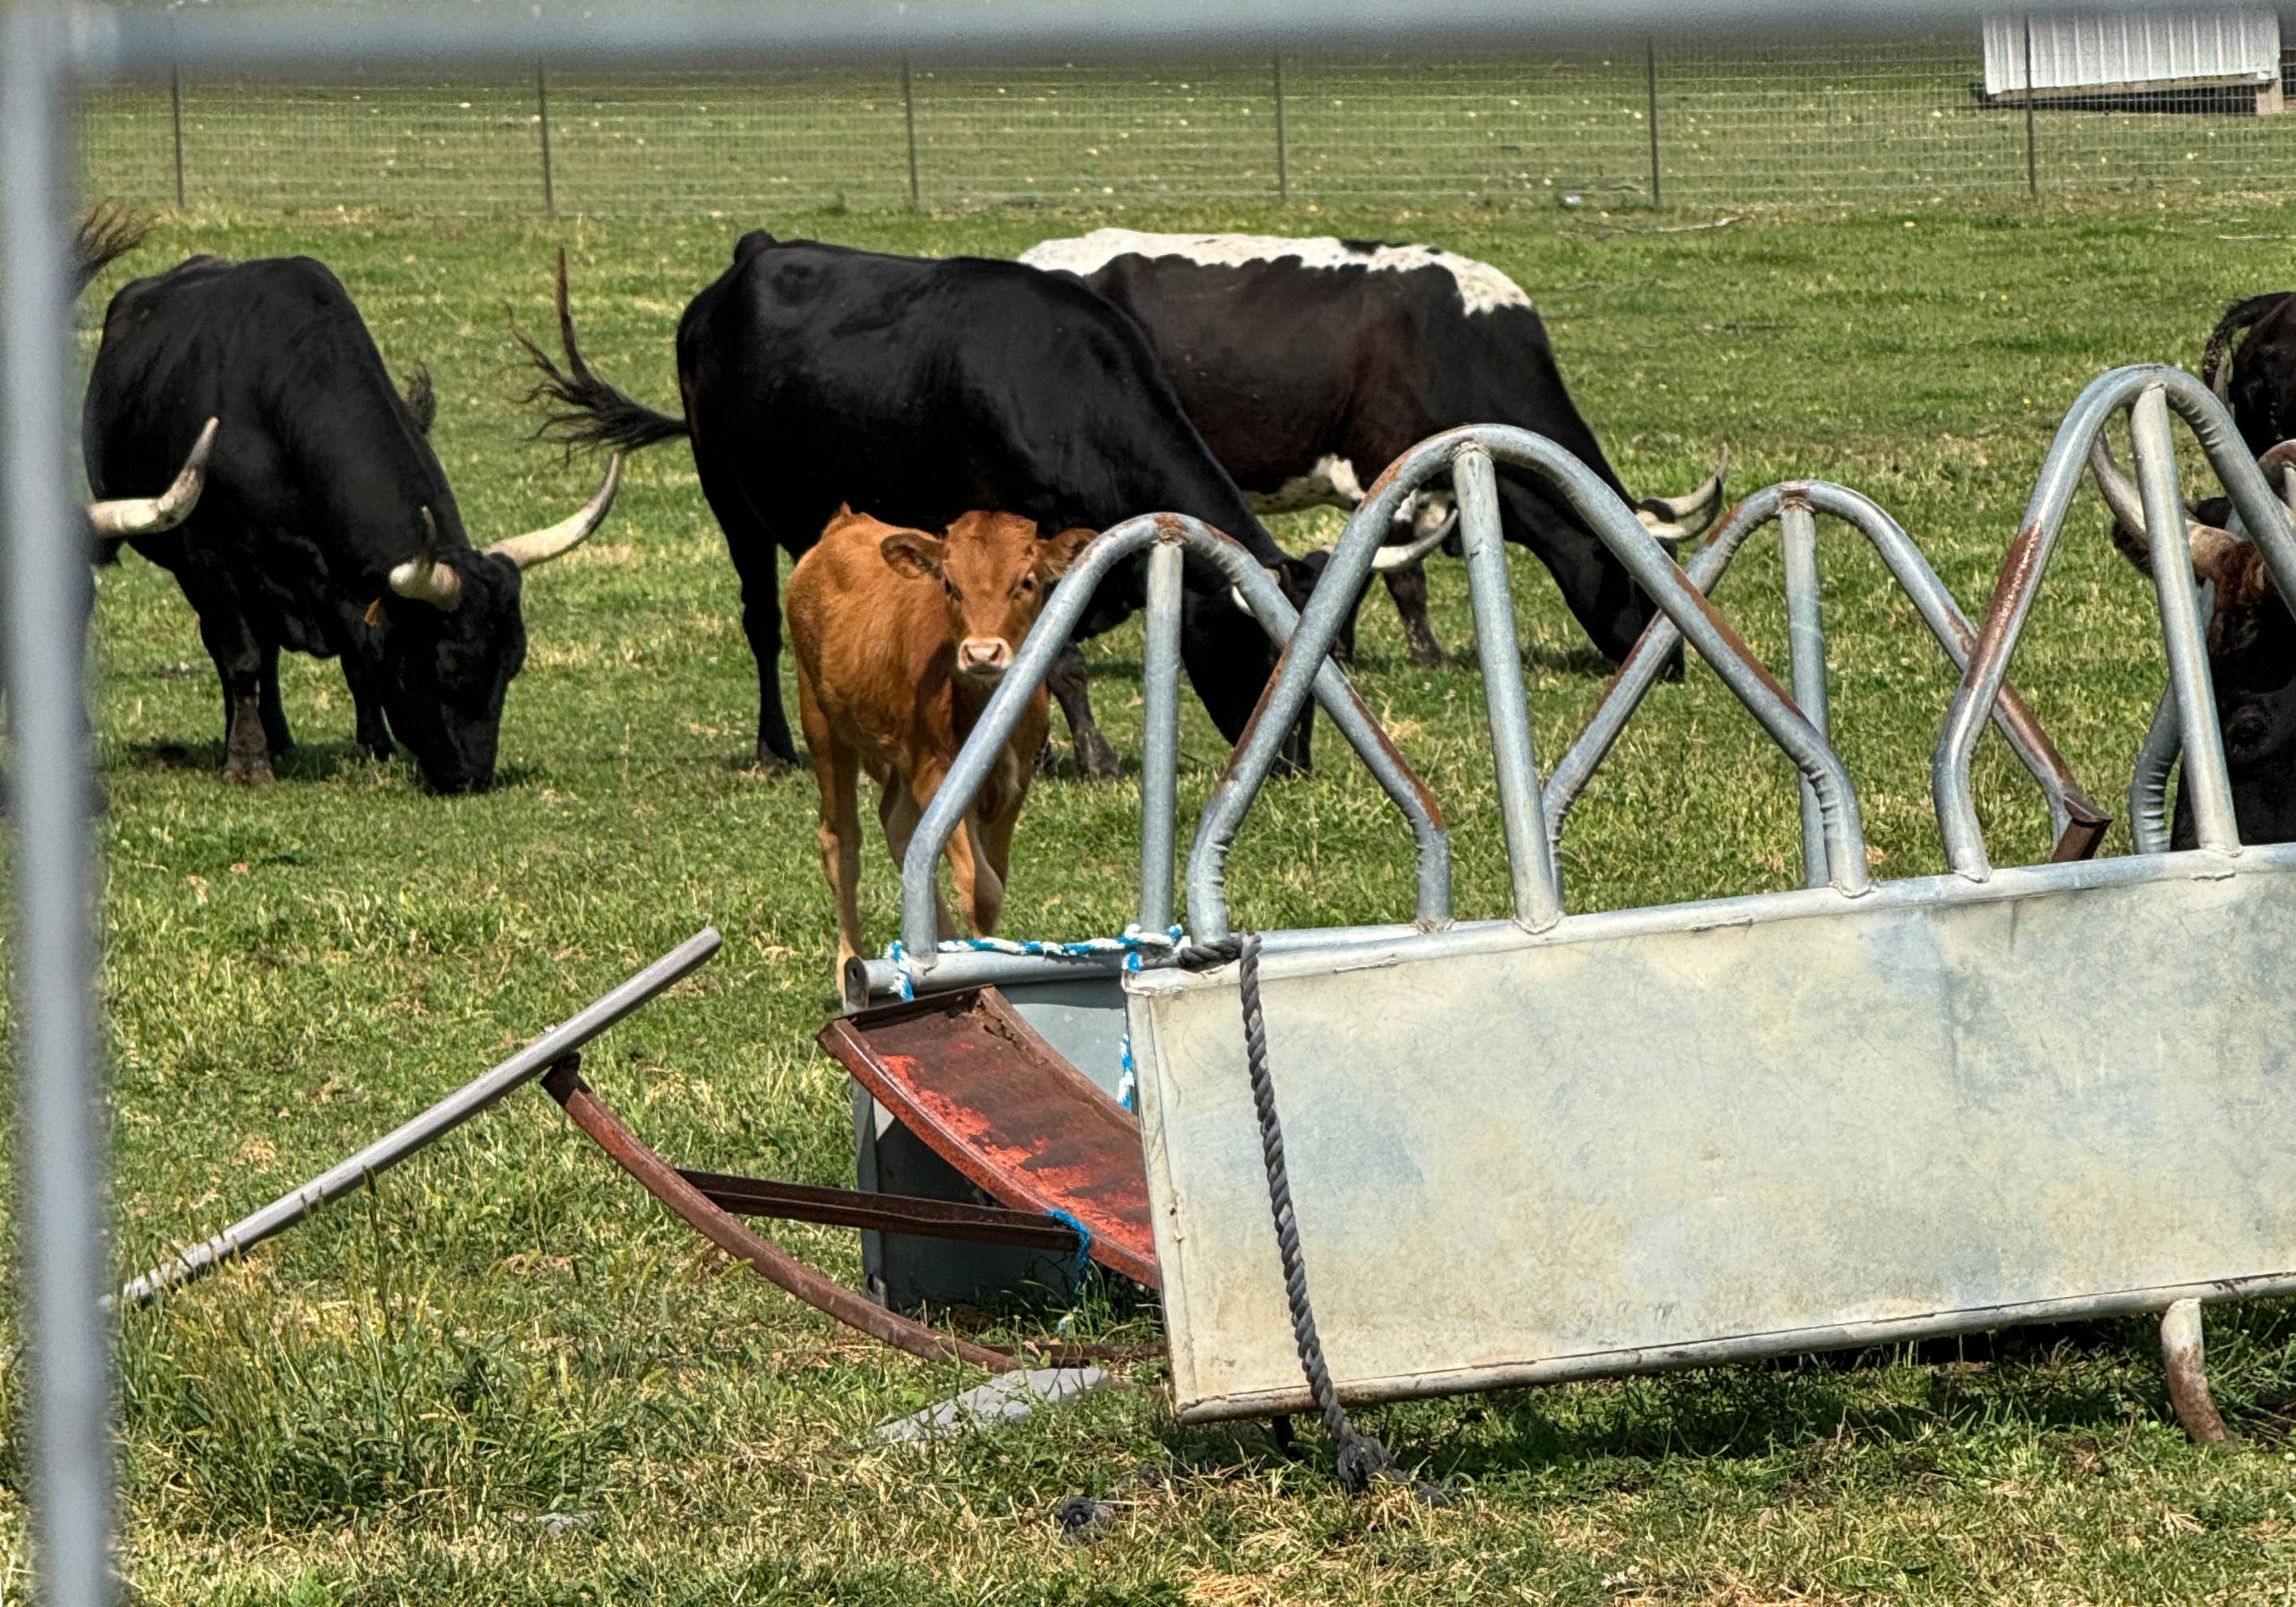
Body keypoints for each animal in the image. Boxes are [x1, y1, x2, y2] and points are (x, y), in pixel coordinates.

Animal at [84, 254, 621, 792]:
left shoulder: (345, 582)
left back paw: (281, 741)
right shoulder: (211, 560)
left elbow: (358, 659)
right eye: (450, 668)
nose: (472, 776)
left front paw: (373, 749)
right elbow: (241, 659)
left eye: (513, 664)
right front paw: (246, 763)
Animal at [516, 239, 1437, 780]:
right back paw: (776, 748)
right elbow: (1061, 660)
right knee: (760, 621)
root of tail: (754, 256)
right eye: (1256, 647)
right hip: (729, 500)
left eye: (1330, 655)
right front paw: (1093, 757)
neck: (1063, 389)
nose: (1292, 766)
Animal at [787, 506, 1094, 970]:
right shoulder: (936, 775)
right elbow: (981, 890)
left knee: (898, 826)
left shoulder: (1015, 783)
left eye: (1027, 581)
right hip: (822, 725)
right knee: (841, 843)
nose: (983, 653)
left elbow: (993, 878)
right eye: (950, 585)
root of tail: (847, 523)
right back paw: (849, 964)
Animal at [1017, 230, 1728, 680]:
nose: (1672, 669)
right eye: (1636, 582)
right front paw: (1406, 655)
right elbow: (1395, 575)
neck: (1456, 338)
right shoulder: (1383, 477)